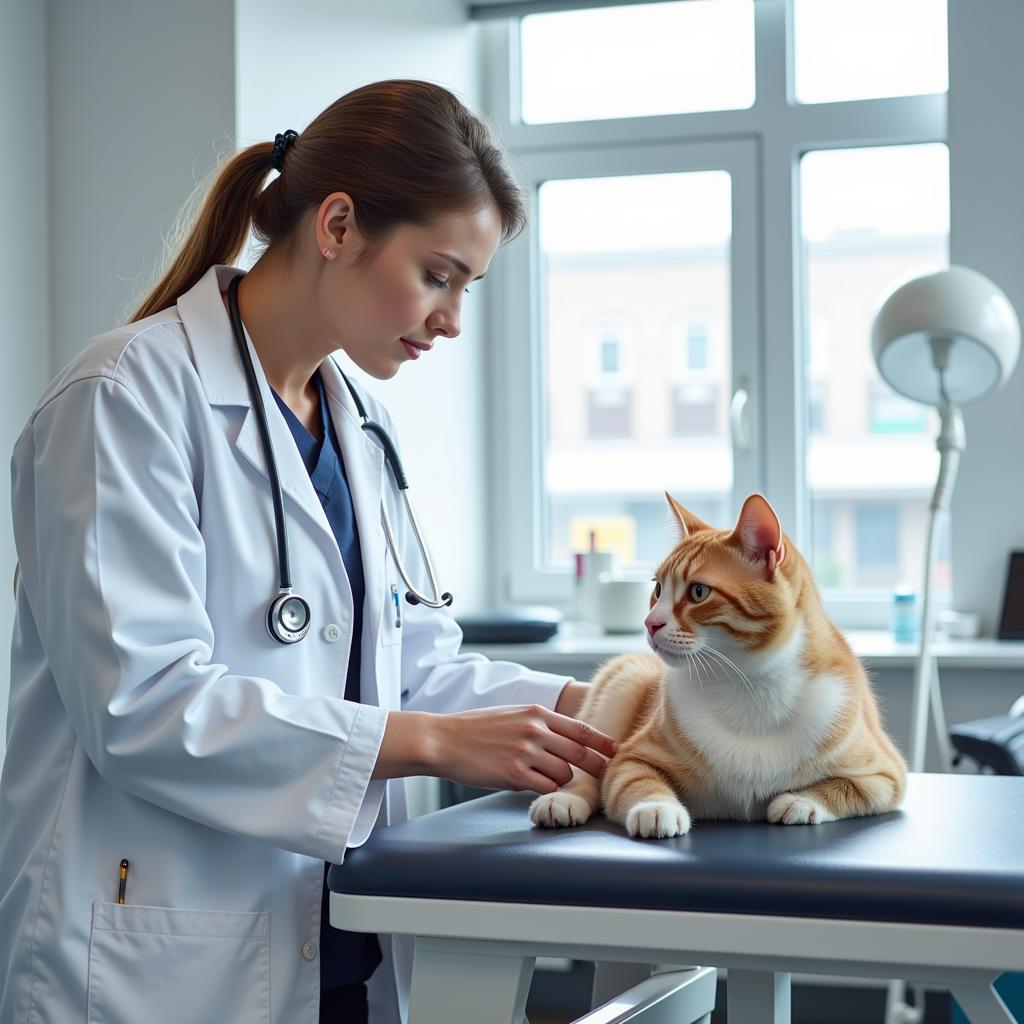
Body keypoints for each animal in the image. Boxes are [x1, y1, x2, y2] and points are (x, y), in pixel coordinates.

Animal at [532, 491, 909, 835]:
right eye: (658, 589)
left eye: (698, 592)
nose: (649, 623)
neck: (748, 685)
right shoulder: (630, 757)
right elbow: (635, 780)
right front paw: (657, 808)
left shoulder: (886, 774)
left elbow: (847, 788)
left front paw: (801, 801)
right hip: (622, 686)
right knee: (584, 765)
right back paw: (563, 800)